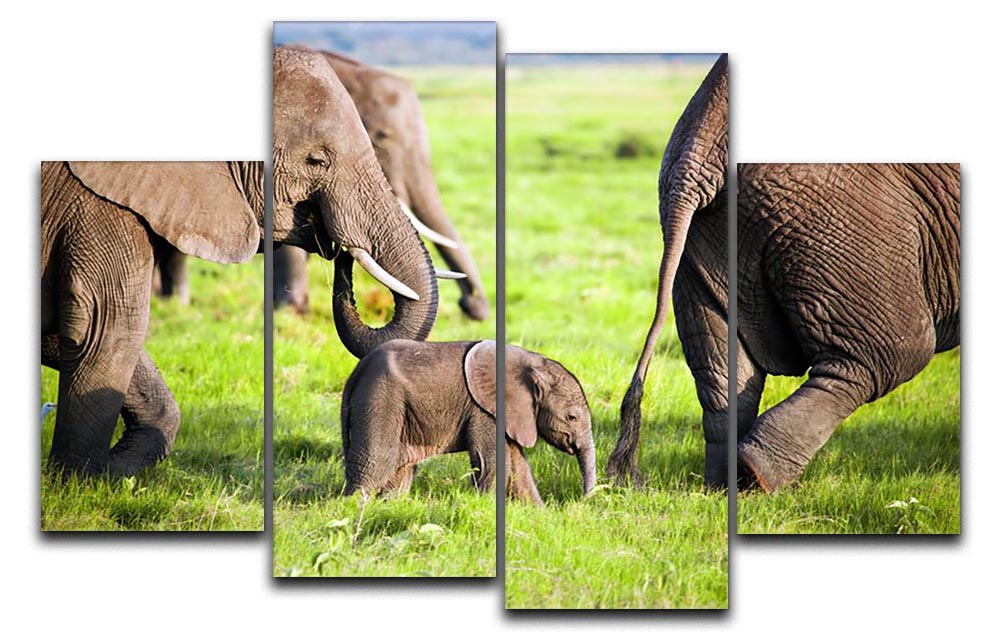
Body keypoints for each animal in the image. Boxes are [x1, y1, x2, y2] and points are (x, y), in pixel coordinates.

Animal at [39, 46, 442, 476]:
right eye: (317, 160)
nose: (339, 249)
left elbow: (66, 332)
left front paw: (113, 471)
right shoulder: (98, 204)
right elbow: (107, 327)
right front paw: (80, 480)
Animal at [340, 340, 595, 505]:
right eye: (571, 417)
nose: (582, 501)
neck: (533, 363)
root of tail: (357, 371)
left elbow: (518, 467)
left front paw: (538, 515)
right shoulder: (484, 411)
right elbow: (492, 463)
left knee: (400, 470)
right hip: (380, 398)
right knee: (376, 461)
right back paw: (354, 509)